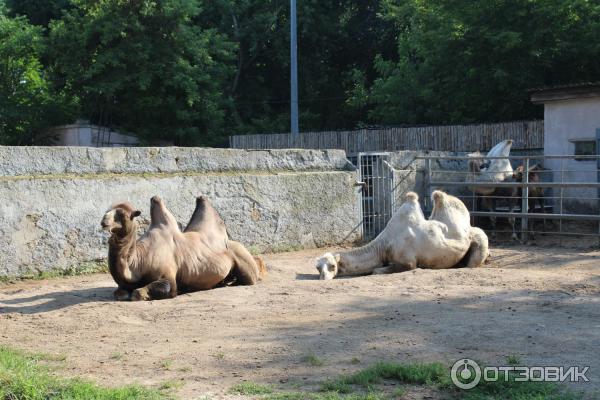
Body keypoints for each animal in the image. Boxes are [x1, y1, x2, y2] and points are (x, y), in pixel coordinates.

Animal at [102, 195, 266, 302]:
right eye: (107, 211)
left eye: (122, 214)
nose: (104, 221)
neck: (138, 262)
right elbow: (120, 293)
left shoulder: (168, 277)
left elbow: (139, 293)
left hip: (242, 258)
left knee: (250, 276)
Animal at [314, 191, 488, 280]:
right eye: (317, 267)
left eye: (332, 266)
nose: (323, 277)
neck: (383, 245)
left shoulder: (408, 262)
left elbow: (376, 271)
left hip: (479, 238)